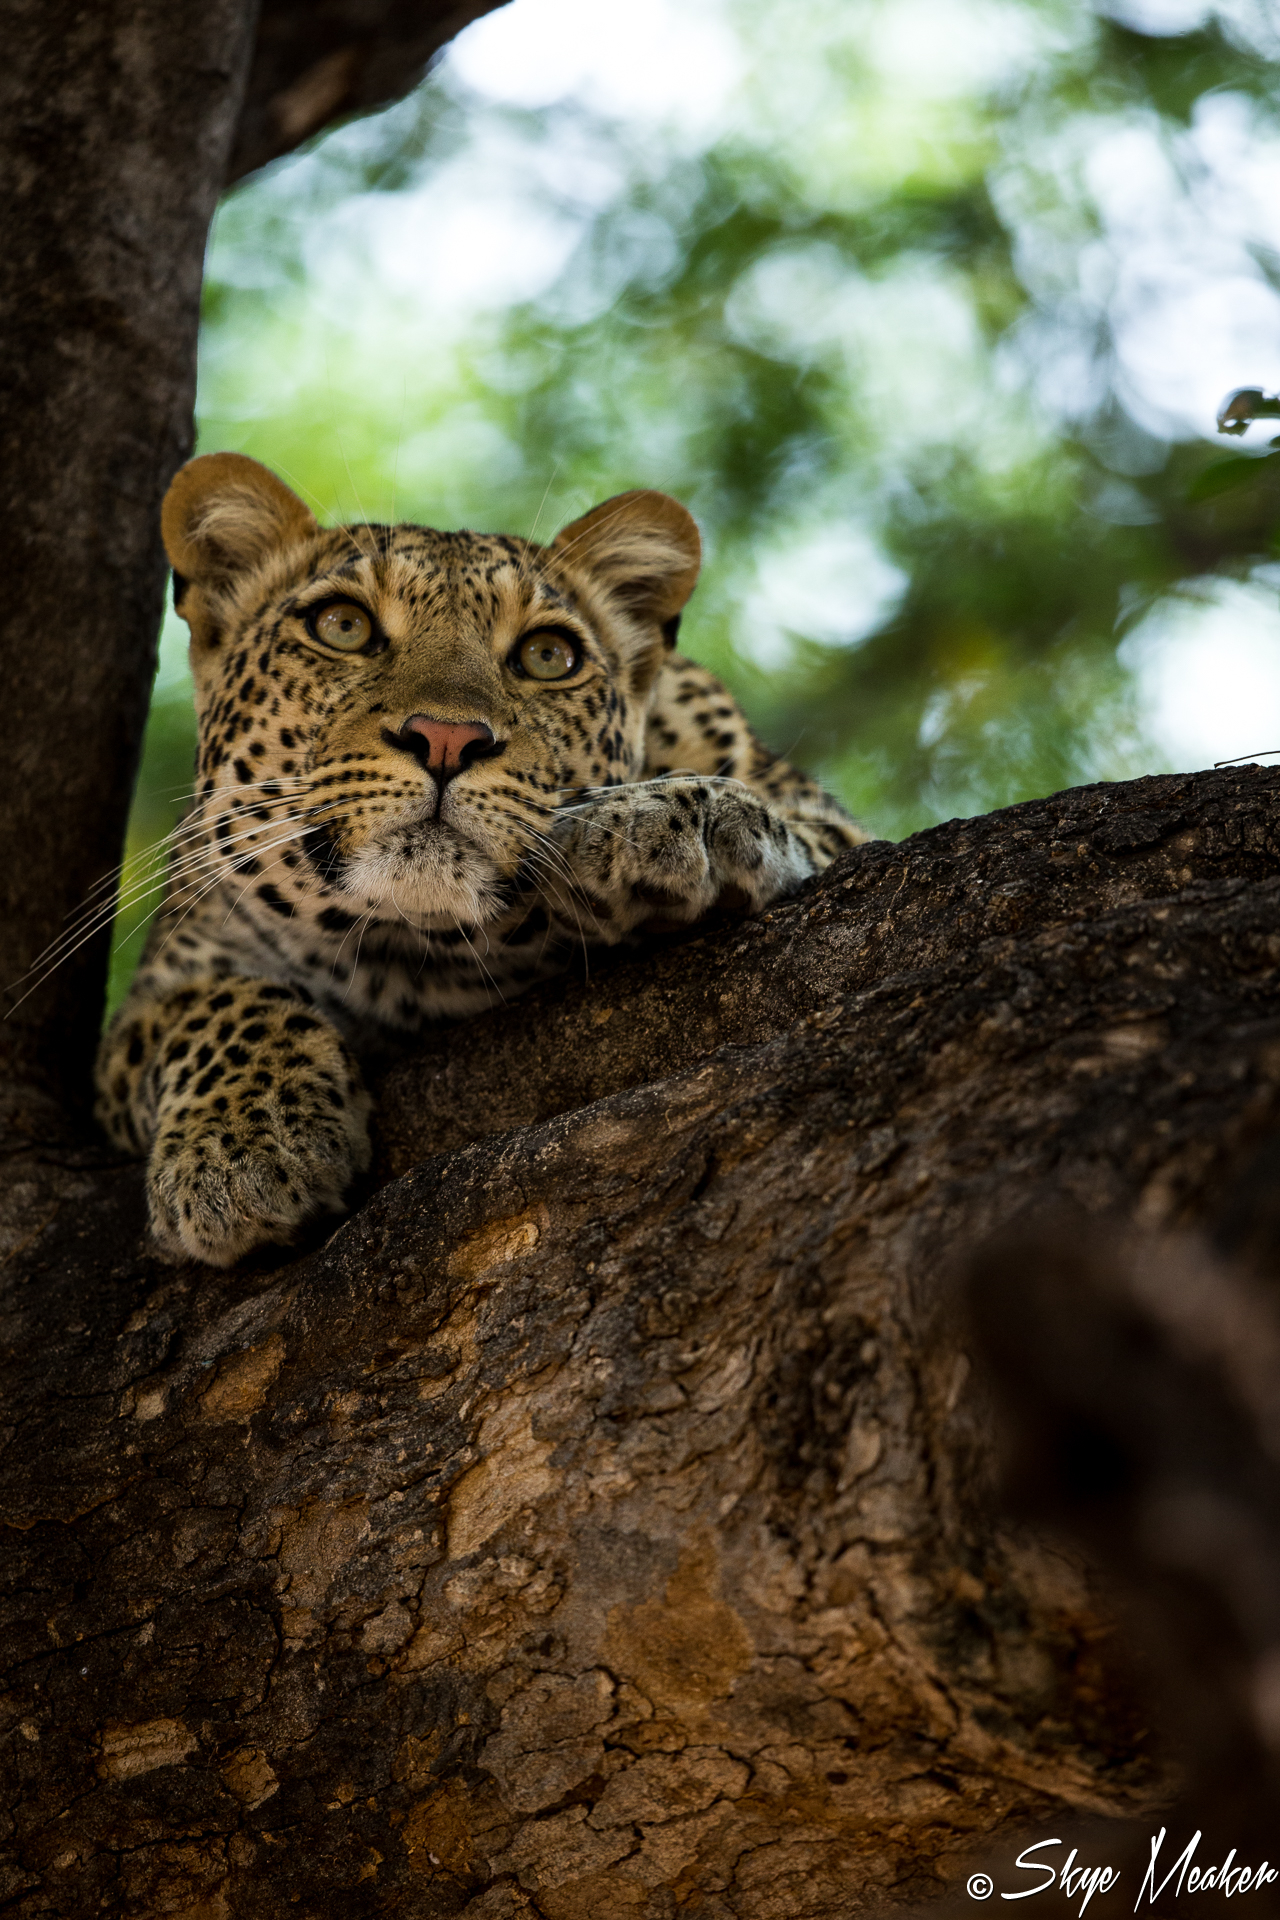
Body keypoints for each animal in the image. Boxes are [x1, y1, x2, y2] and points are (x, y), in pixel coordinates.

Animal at [95, 453, 870, 1266]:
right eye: (342, 626)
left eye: (547, 656)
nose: (446, 738)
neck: (423, 959)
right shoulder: (156, 993)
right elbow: (205, 1004)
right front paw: (243, 1152)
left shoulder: (825, 819)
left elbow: (782, 821)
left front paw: (663, 821)